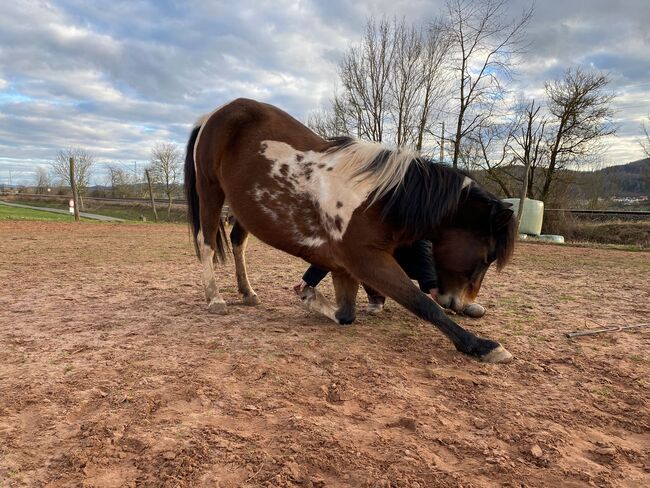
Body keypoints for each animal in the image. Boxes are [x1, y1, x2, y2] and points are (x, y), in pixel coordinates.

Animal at [184, 97, 516, 362]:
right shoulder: (367, 260)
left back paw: (248, 293)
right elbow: (421, 304)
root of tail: (213, 115)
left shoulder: (344, 266)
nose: (459, 304)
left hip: (244, 208)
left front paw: (311, 298)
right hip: (210, 191)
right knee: (206, 243)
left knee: (238, 242)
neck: (379, 199)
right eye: (487, 256)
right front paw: (482, 346)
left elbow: (346, 314)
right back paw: (215, 299)